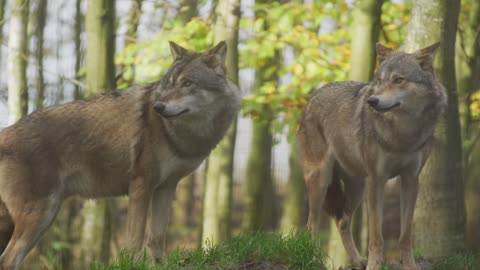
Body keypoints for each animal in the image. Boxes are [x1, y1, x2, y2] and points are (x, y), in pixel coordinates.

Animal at [0, 40, 242, 270]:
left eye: (187, 83)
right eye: (168, 85)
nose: (158, 107)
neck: (183, 134)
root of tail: (6, 133)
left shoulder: (166, 188)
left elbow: (156, 237)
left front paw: (160, 264)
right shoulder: (141, 186)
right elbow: (135, 239)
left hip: (41, 219)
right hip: (40, 216)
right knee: (9, 260)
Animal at [298, 42, 448, 270]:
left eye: (398, 80)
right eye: (379, 81)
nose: (372, 101)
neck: (403, 133)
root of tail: (313, 96)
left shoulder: (411, 180)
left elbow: (405, 235)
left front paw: (409, 265)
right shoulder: (378, 180)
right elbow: (377, 235)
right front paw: (375, 265)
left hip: (358, 187)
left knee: (342, 222)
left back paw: (357, 260)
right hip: (322, 181)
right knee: (311, 226)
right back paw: (314, 262)